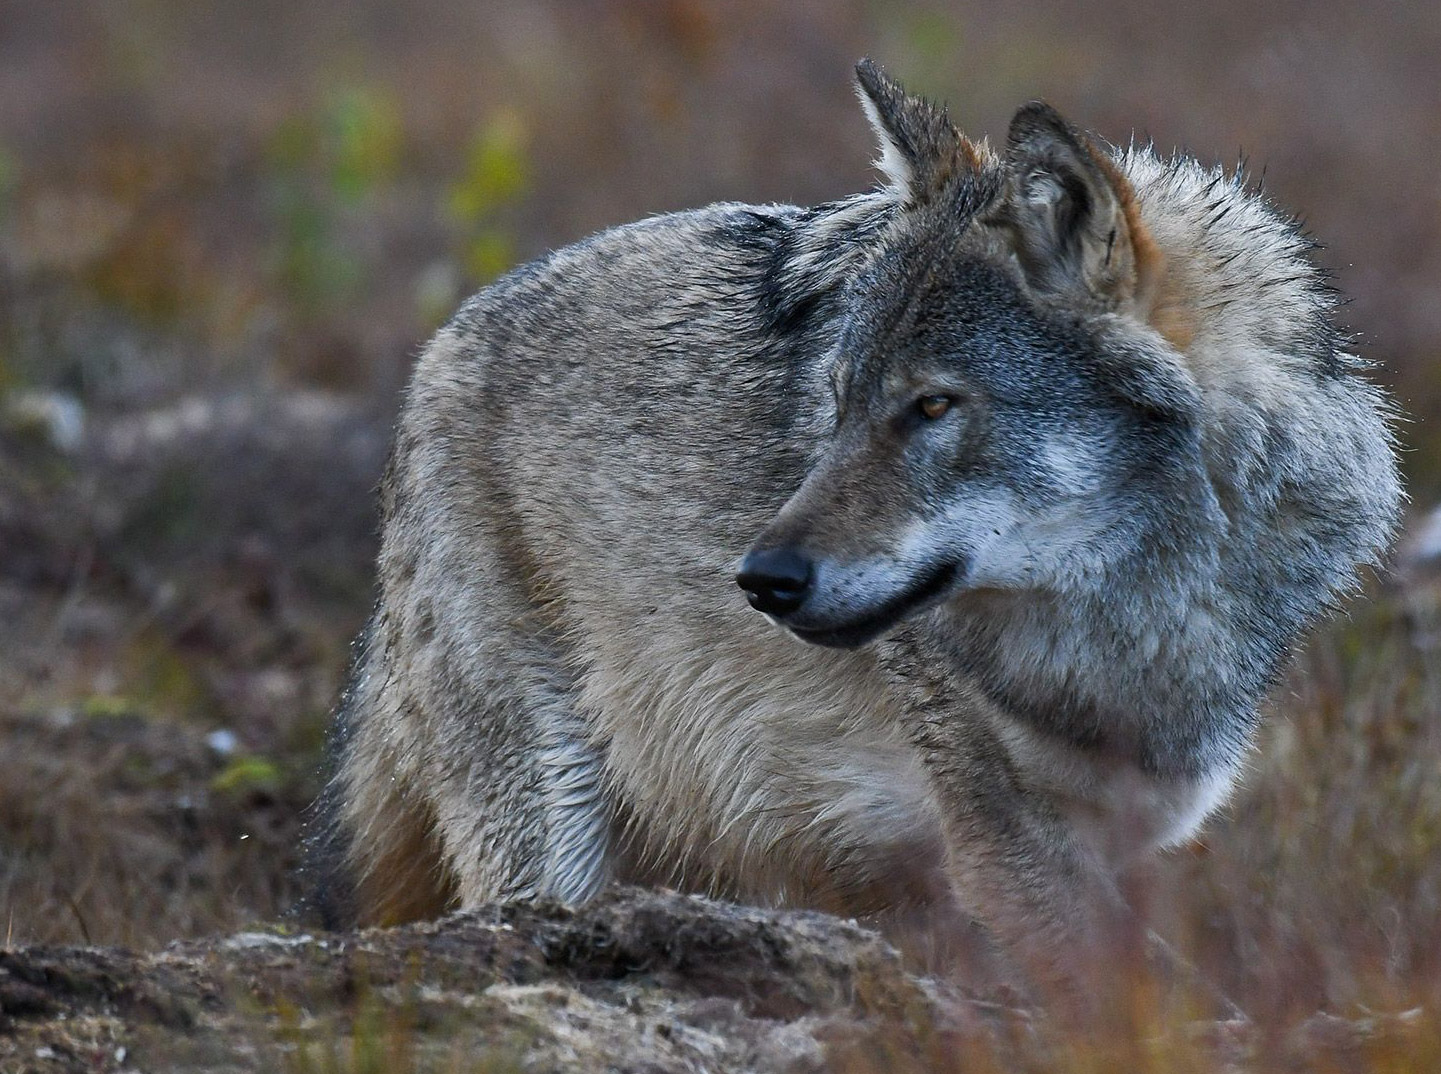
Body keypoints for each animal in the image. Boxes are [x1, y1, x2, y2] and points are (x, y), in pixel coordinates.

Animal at [301, 58, 1394, 986]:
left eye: (931, 406)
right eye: (839, 401)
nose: (760, 582)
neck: (1144, 615)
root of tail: (439, 349)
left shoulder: (1123, 843)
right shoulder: (1004, 851)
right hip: (547, 830)